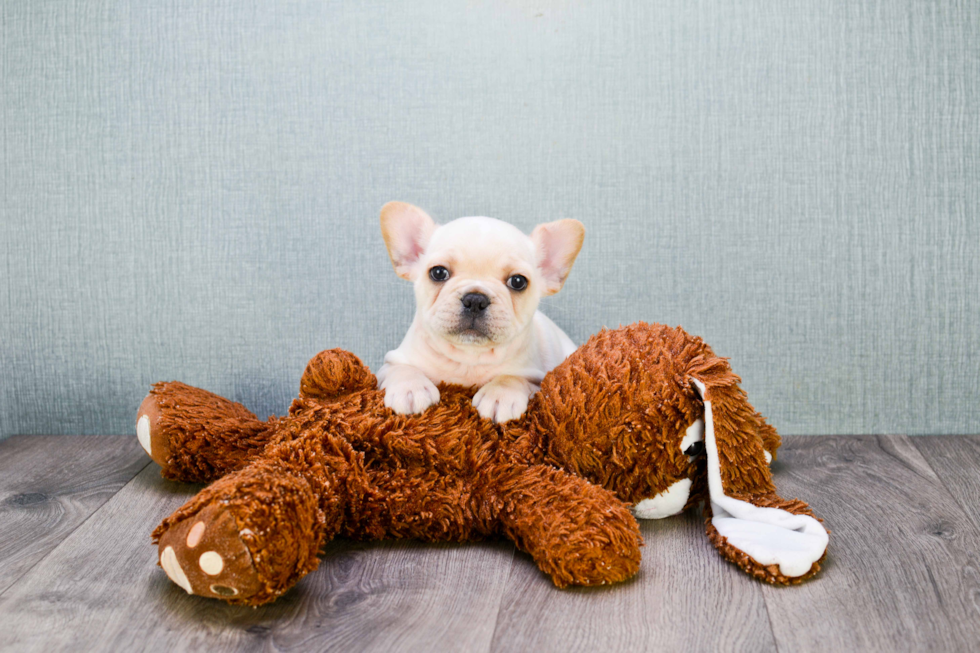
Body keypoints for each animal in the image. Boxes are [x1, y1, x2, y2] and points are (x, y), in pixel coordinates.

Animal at [378, 199, 584, 422]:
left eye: (518, 282)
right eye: (438, 272)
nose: (475, 299)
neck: (469, 357)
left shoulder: (537, 378)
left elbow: (511, 378)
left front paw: (500, 395)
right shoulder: (389, 363)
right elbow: (402, 369)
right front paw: (410, 388)